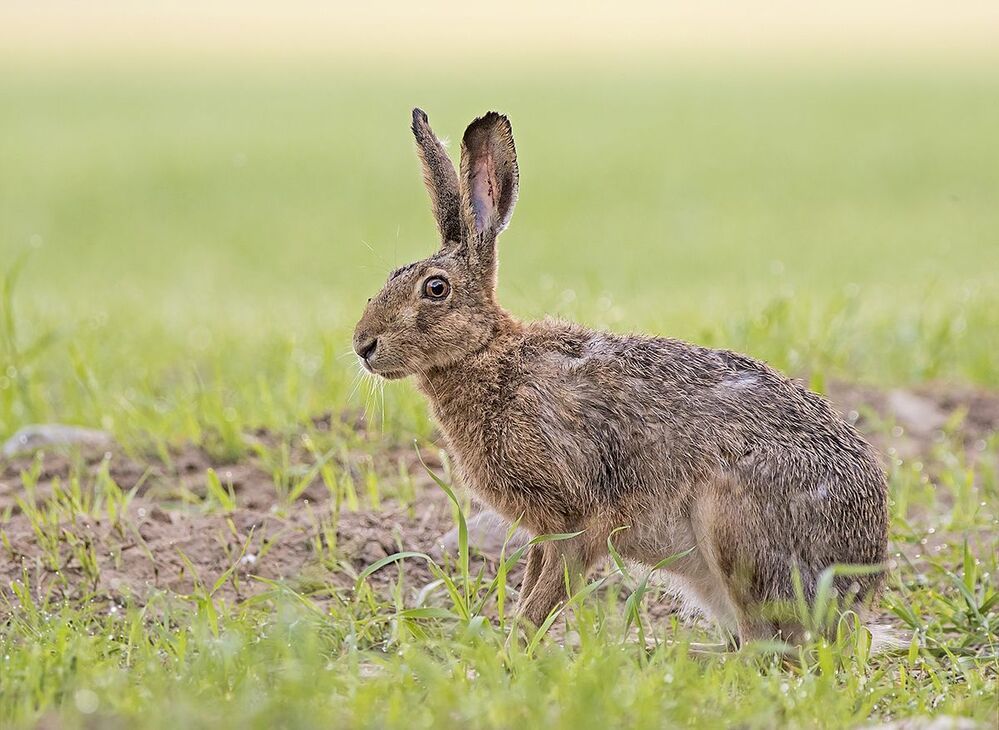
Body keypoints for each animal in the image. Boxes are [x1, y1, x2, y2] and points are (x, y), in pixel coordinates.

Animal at [353, 108, 889, 646]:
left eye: (435, 289)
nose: (362, 345)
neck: (492, 355)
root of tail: (856, 591)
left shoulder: (578, 517)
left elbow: (546, 593)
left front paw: (512, 649)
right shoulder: (544, 531)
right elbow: (533, 584)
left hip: (733, 528)